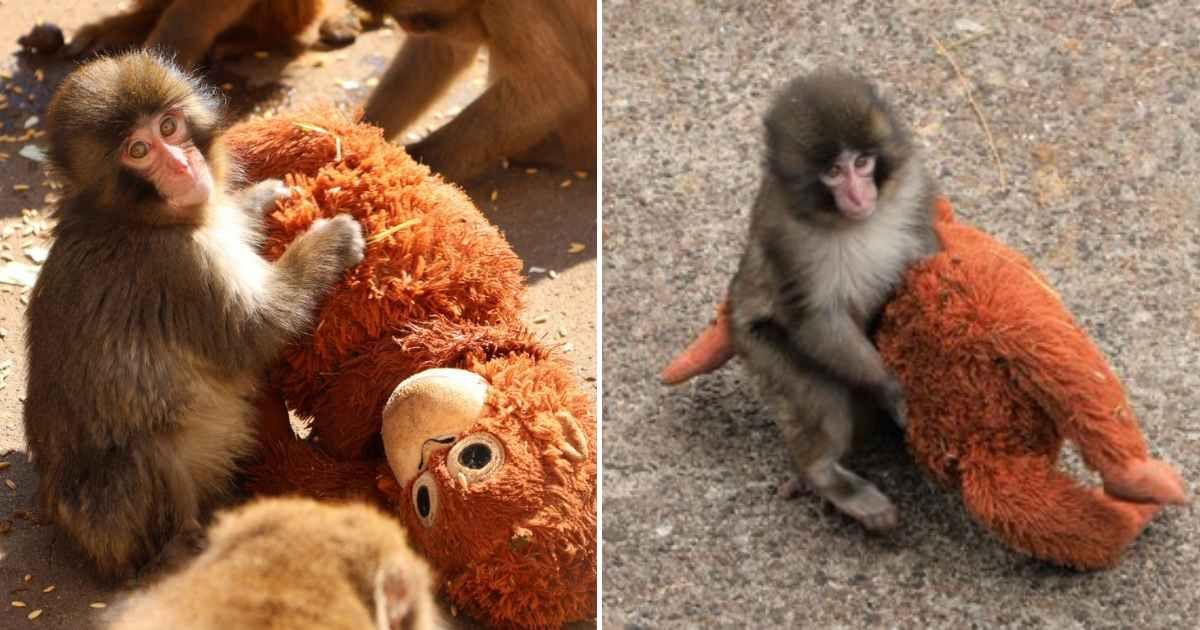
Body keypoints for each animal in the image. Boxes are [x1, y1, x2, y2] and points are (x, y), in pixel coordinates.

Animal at [24, 50, 365, 581]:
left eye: (169, 126)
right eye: (139, 150)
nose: (183, 165)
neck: (136, 218)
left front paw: (258, 199)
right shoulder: (179, 266)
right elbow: (254, 332)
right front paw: (329, 243)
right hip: (112, 521)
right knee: (146, 453)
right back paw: (184, 547)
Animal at [353, 0, 597, 182]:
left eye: (414, 18)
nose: (407, 26)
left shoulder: (509, 5)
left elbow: (554, 92)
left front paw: (411, 167)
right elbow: (442, 50)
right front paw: (362, 130)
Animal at [726, 71, 940, 530]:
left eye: (861, 163)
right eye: (833, 172)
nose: (859, 196)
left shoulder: (913, 187)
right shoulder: (786, 236)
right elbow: (814, 318)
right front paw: (891, 388)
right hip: (756, 345)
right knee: (819, 396)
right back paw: (826, 476)